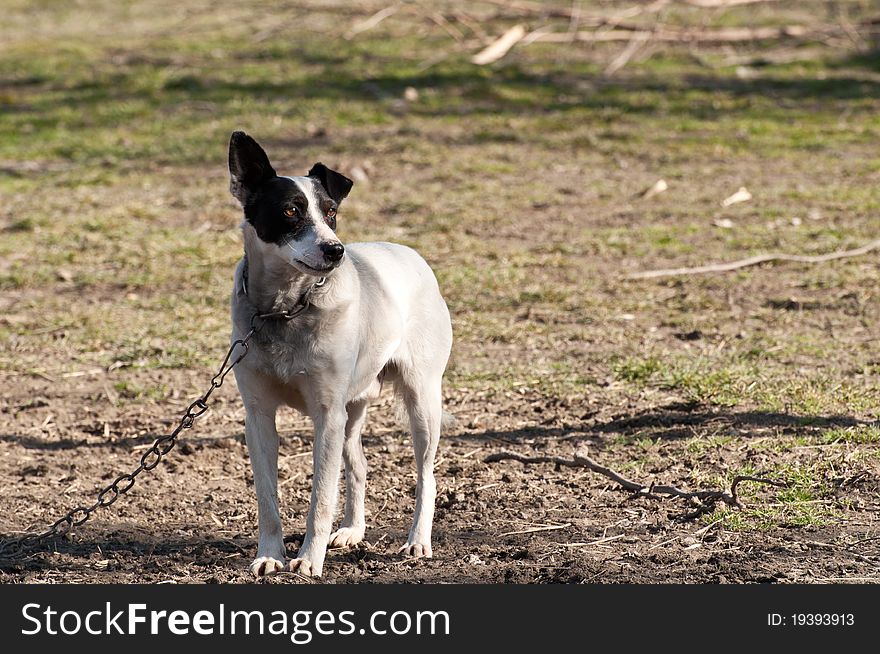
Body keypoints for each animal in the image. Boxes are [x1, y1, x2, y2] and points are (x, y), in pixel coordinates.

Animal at [225, 132, 454, 580]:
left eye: (331, 212)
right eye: (291, 211)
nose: (336, 251)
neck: (285, 309)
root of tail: (409, 253)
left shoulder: (326, 415)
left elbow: (321, 498)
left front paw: (309, 560)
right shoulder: (259, 417)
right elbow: (268, 499)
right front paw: (270, 555)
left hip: (420, 402)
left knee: (426, 474)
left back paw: (417, 541)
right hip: (352, 411)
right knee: (360, 466)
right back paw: (352, 530)